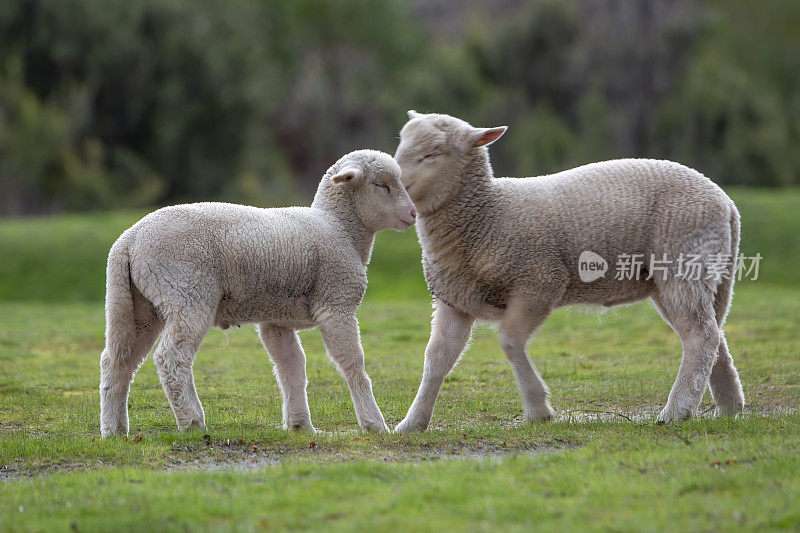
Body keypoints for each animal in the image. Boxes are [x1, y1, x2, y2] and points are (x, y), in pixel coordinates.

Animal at [98, 149, 418, 436]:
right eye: (381, 185)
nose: (413, 213)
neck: (339, 227)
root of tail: (129, 240)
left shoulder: (276, 320)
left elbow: (292, 367)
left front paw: (301, 426)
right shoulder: (336, 303)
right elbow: (352, 363)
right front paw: (374, 424)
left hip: (132, 306)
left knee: (116, 361)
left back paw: (114, 430)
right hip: (187, 294)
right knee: (172, 358)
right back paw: (192, 422)